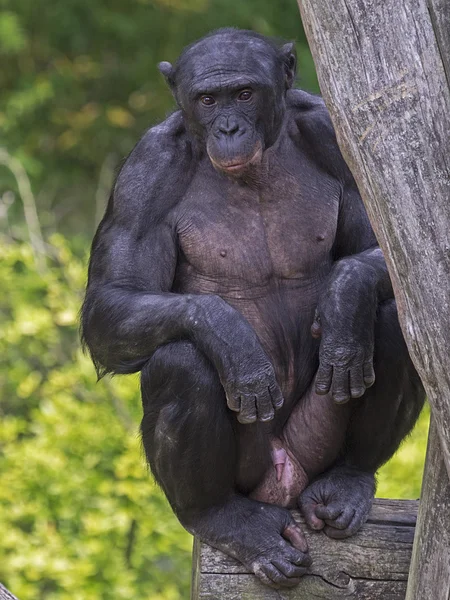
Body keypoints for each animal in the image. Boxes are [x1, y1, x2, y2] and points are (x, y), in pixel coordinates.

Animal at [81, 29, 426, 592]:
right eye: (207, 99)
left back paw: (347, 482)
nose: (228, 127)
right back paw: (226, 520)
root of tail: (283, 483)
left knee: (395, 321)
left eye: (243, 94)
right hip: (252, 469)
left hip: (315, 443)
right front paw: (232, 339)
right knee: (181, 362)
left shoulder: (333, 134)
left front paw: (345, 295)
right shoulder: (143, 175)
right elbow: (112, 299)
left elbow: (390, 248)